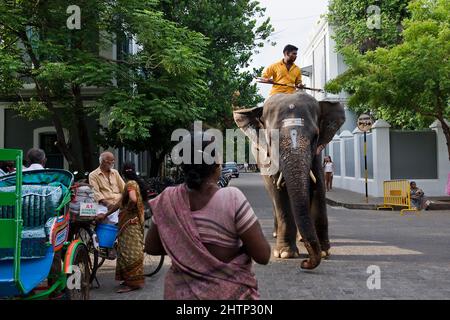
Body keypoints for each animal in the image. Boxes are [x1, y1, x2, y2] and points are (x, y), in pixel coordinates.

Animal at [232, 92, 344, 270]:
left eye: (315, 136)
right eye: (271, 139)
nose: (305, 263)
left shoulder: (317, 154)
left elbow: (318, 187)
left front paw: (324, 252)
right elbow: (279, 193)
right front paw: (285, 254)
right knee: (273, 197)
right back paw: (277, 234)